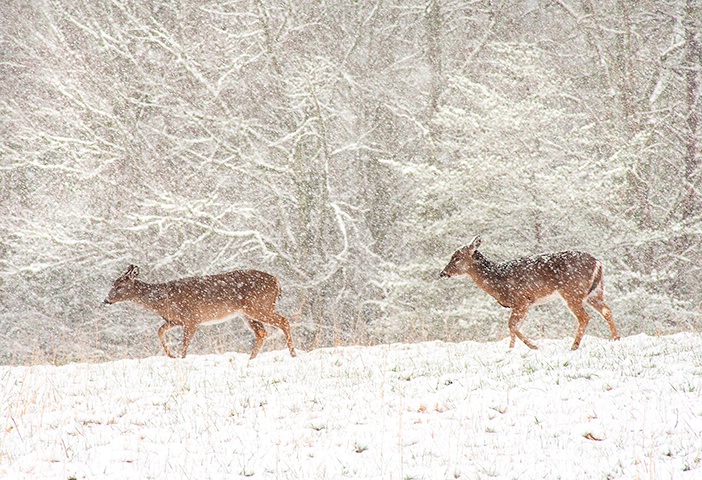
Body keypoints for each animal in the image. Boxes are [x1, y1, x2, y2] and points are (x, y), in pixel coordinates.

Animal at [106, 264, 298, 358]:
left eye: (120, 286)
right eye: (113, 283)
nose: (106, 300)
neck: (163, 299)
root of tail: (277, 281)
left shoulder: (192, 317)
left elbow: (185, 343)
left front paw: (180, 358)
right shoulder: (175, 320)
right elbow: (160, 331)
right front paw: (171, 355)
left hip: (259, 306)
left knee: (284, 321)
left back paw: (293, 354)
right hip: (247, 313)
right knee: (262, 332)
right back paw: (251, 359)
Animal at [440, 235, 620, 350]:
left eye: (457, 257)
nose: (442, 273)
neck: (498, 280)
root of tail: (598, 263)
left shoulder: (521, 300)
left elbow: (511, 325)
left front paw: (533, 346)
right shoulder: (525, 304)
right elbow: (513, 327)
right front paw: (511, 350)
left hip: (572, 291)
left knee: (584, 317)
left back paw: (574, 346)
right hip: (594, 292)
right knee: (607, 310)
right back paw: (616, 339)